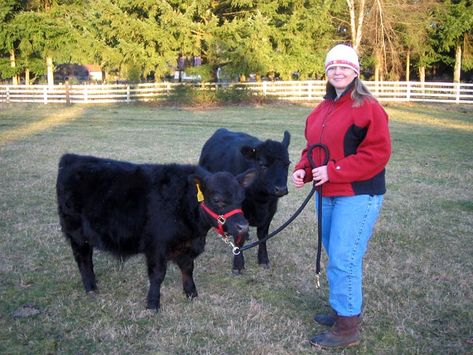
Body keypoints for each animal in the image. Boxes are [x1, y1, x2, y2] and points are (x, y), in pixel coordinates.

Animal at [56, 154, 254, 310]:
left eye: (242, 198)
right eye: (217, 199)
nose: (243, 226)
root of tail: (71, 158)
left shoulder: (187, 246)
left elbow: (188, 269)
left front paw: (191, 293)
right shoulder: (156, 247)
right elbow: (157, 275)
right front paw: (152, 304)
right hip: (77, 234)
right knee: (84, 260)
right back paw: (91, 288)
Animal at [197, 129, 290, 274]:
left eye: (287, 164)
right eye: (262, 164)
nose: (280, 189)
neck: (260, 200)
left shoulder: (270, 212)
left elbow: (263, 236)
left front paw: (263, 259)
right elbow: (238, 240)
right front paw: (238, 265)